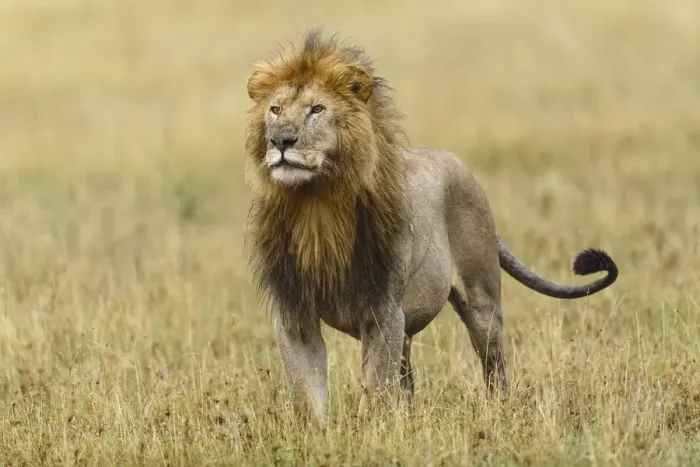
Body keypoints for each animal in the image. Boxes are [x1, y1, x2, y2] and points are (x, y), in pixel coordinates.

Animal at [243, 29, 618, 428]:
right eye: (275, 110)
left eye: (316, 109)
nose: (281, 140)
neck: (316, 204)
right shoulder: (294, 315)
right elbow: (307, 396)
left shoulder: (383, 312)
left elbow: (374, 389)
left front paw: (367, 431)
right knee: (408, 381)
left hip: (481, 298)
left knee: (494, 365)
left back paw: (498, 412)